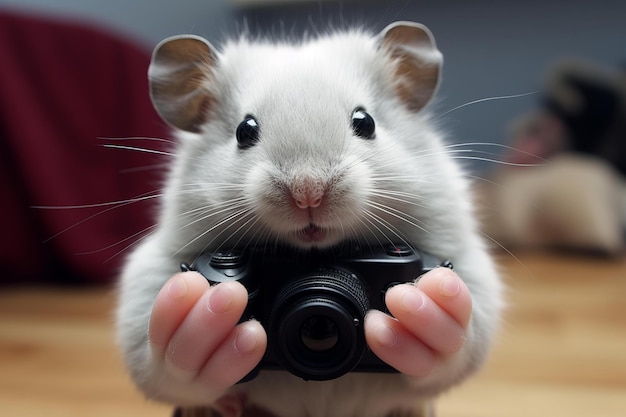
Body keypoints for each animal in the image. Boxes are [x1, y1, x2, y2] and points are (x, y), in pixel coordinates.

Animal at [114, 21, 500, 416]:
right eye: (244, 131)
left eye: (366, 122)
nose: (308, 193)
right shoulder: (154, 275)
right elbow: (165, 354)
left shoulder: (465, 265)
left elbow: (456, 339)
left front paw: (420, 309)